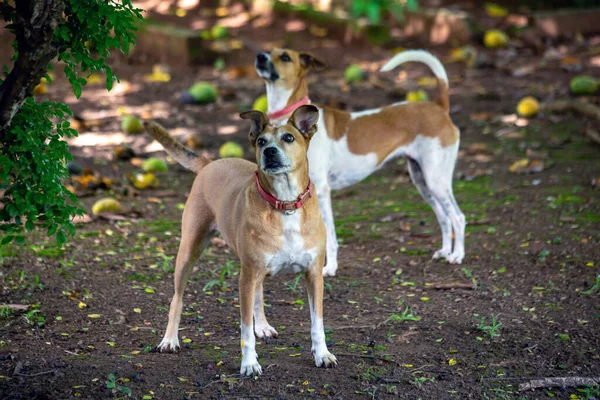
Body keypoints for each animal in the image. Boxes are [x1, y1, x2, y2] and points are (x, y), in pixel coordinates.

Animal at [143, 105, 336, 376]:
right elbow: (245, 330)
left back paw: (262, 325)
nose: (269, 151)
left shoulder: (313, 274)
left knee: (259, 293)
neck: (285, 204)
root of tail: (210, 164)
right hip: (189, 251)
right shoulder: (246, 278)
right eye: (261, 141)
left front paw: (322, 354)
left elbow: (317, 322)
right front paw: (250, 363)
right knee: (177, 299)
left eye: (289, 138)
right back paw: (170, 339)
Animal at [255, 48, 466, 276]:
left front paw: (330, 267)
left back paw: (457, 255)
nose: (259, 56)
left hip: (436, 180)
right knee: (444, 217)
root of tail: (439, 108)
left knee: (457, 217)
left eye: (285, 57)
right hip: (422, 181)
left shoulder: (321, 191)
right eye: (268, 51)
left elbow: (330, 236)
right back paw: (445, 251)